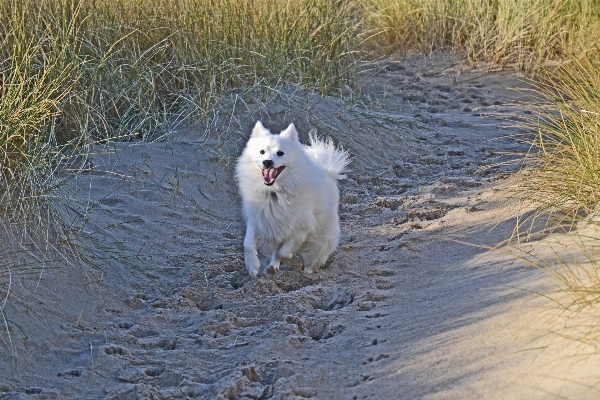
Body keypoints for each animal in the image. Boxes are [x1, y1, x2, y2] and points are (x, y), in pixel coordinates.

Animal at [237, 121, 350, 278]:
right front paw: (252, 267)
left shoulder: (301, 227)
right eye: (262, 152)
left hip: (321, 236)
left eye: (280, 153)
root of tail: (328, 172)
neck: (274, 192)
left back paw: (308, 273)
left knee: (313, 257)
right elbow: (247, 244)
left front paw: (288, 258)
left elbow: (283, 251)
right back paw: (273, 267)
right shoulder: (259, 219)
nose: (267, 162)